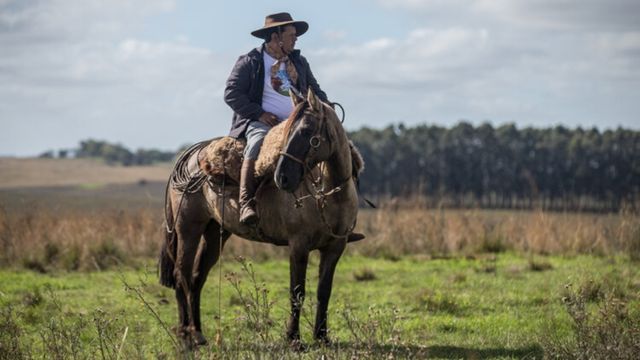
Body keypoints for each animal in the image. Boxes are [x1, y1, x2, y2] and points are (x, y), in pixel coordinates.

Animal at [158, 88, 362, 348]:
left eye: (307, 131)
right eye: (287, 132)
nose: (282, 177)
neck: (329, 195)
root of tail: (190, 156)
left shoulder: (335, 247)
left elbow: (323, 291)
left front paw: (322, 337)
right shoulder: (299, 246)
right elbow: (297, 291)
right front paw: (293, 339)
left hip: (214, 234)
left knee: (196, 278)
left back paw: (198, 334)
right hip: (188, 229)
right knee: (181, 276)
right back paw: (186, 336)